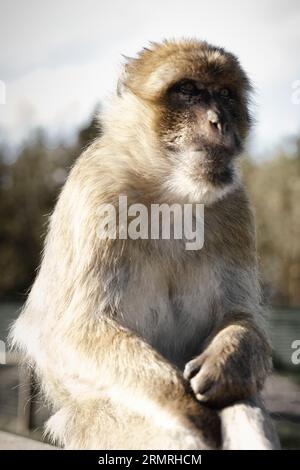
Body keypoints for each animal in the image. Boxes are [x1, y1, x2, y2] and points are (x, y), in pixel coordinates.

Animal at [10, 38, 280, 450]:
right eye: (188, 90)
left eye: (224, 94)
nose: (220, 119)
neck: (172, 195)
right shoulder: (101, 192)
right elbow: (72, 331)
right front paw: (187, 407)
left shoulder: (235, 206)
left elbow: (241, 315)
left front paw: (227, 360)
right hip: (92, 428)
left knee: (243, 399)